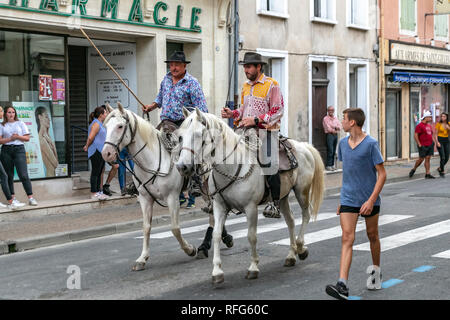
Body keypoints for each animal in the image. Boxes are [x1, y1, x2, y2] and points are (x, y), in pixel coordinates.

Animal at [102, 104, 197, 272]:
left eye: (120, 126)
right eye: (106, 126)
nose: (106, 153)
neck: (152, 160)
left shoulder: (172, 198)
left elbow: (175, 228)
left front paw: (190, 249)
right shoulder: (145, 199)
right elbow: (146, 227)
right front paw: (142, 259)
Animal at [174, 109, 326, 284]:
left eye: (198, 134)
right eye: (180, 136)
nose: (182, 167)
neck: (232, 167)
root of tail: (304, 146)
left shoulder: (251, 208)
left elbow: (251, 236)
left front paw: (253, 267)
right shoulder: (219, 206)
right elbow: (217, 234)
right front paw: (217, 271)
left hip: (302, 191)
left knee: (306, 215)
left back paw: (301, 248)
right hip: (283, 197)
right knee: (291, 221)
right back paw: (291, 256)